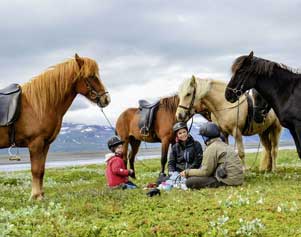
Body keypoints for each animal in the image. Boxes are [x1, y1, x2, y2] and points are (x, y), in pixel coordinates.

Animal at [0, 54, 110, 200]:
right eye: (91, 76)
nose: (106, 99)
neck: (37, 105)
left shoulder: (45, 144)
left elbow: (41, 170)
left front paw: (41, 195)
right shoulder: (35, 143)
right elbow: (35, 170)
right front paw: (35, 196)